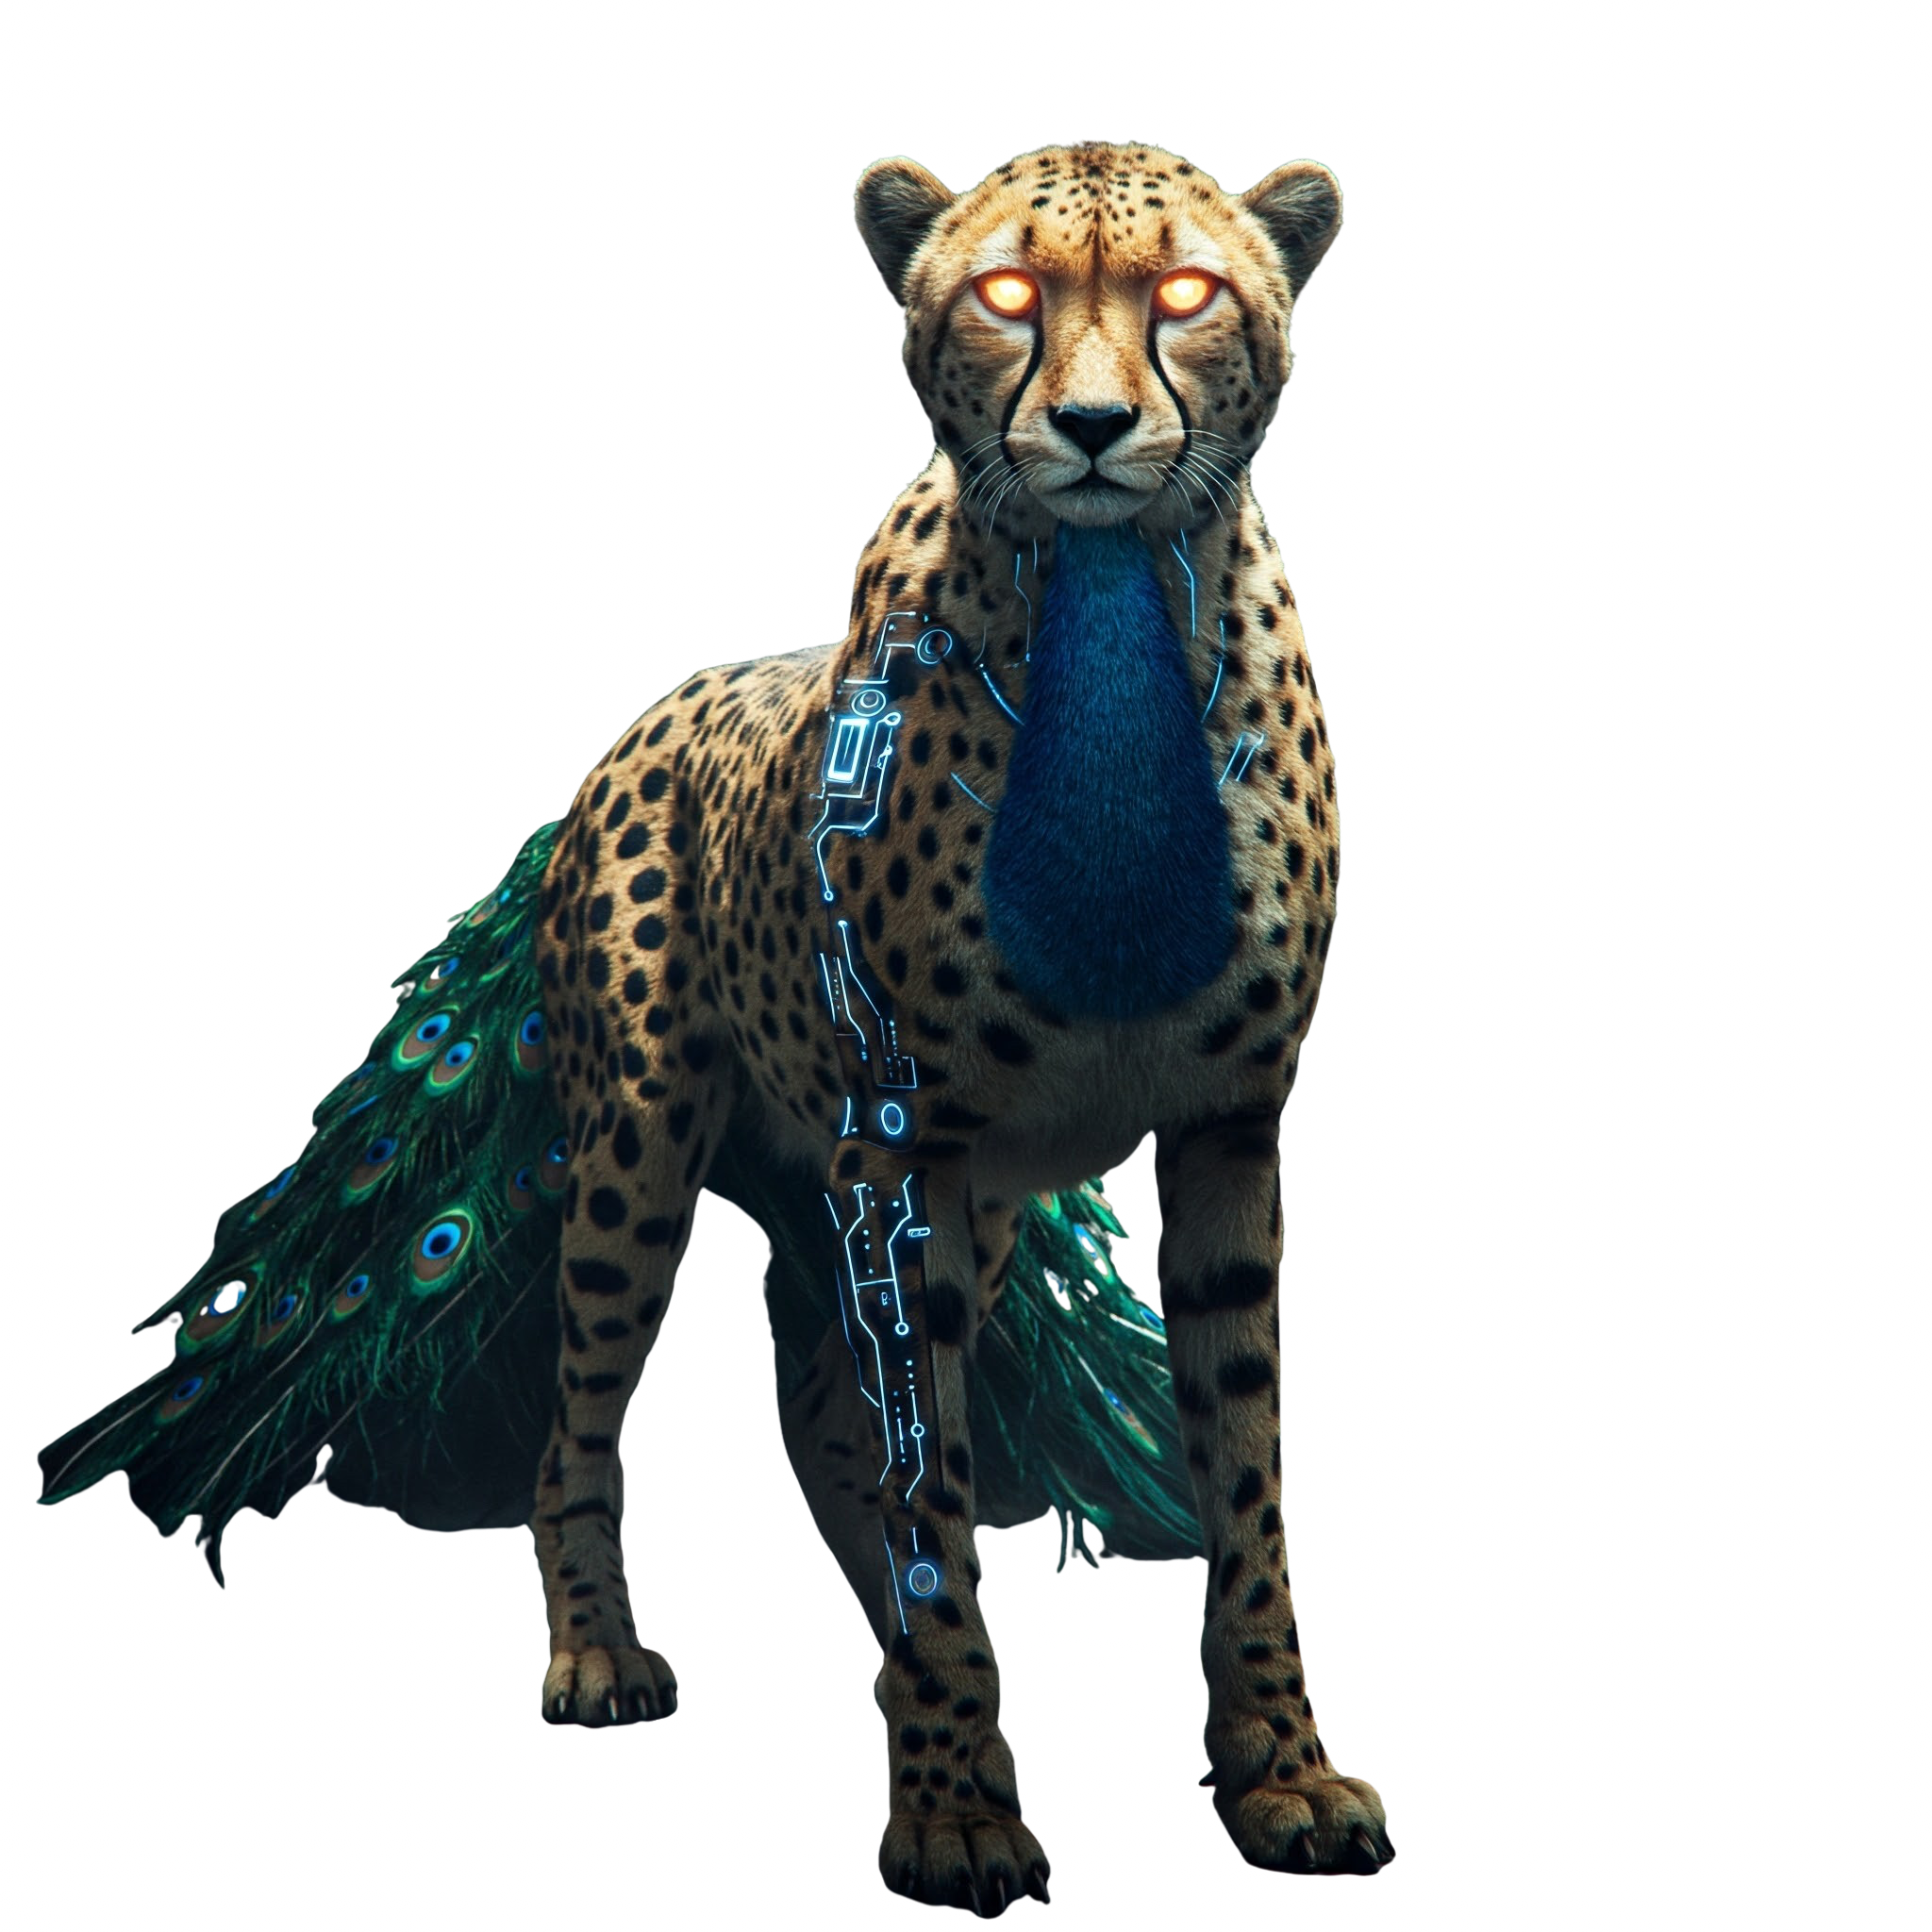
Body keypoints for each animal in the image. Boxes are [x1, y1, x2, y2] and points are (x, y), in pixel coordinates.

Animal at [530, 137, 1387, 1909]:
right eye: (1003, 292)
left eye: (1186, 292)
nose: (1093, 427)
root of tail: (659, 706)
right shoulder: (900, 1141)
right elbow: (924, 1458)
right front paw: (951, 1809)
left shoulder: (1229, 1125)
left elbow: (1245, 1470)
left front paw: (1279, 1772)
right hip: (646, 1150)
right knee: (582, 1399)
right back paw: (601, 1657)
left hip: (973, 1198)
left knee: (816, 1399)